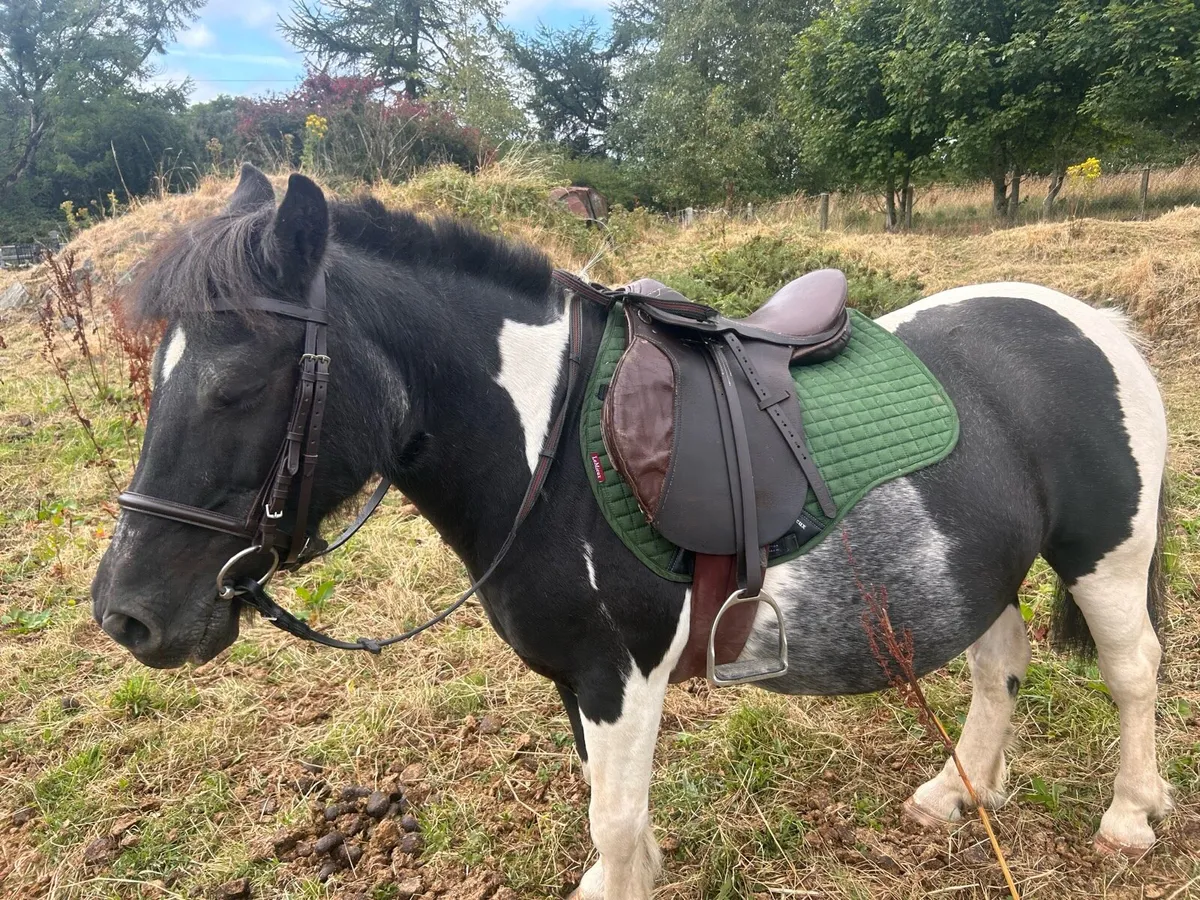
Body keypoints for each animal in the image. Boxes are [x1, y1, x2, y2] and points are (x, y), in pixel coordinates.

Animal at [91, 165, 1171, 899]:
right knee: (999, 665)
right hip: (980, 565)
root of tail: (1092, 321)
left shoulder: (621, 673)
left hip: (1103, 559)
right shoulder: (581, 683)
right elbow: (613, 814)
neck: (548, 448)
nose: (125, 614)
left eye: (237, 386)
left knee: (1132, 673)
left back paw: (1129, 814)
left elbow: (612, 820)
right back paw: (960, 792)